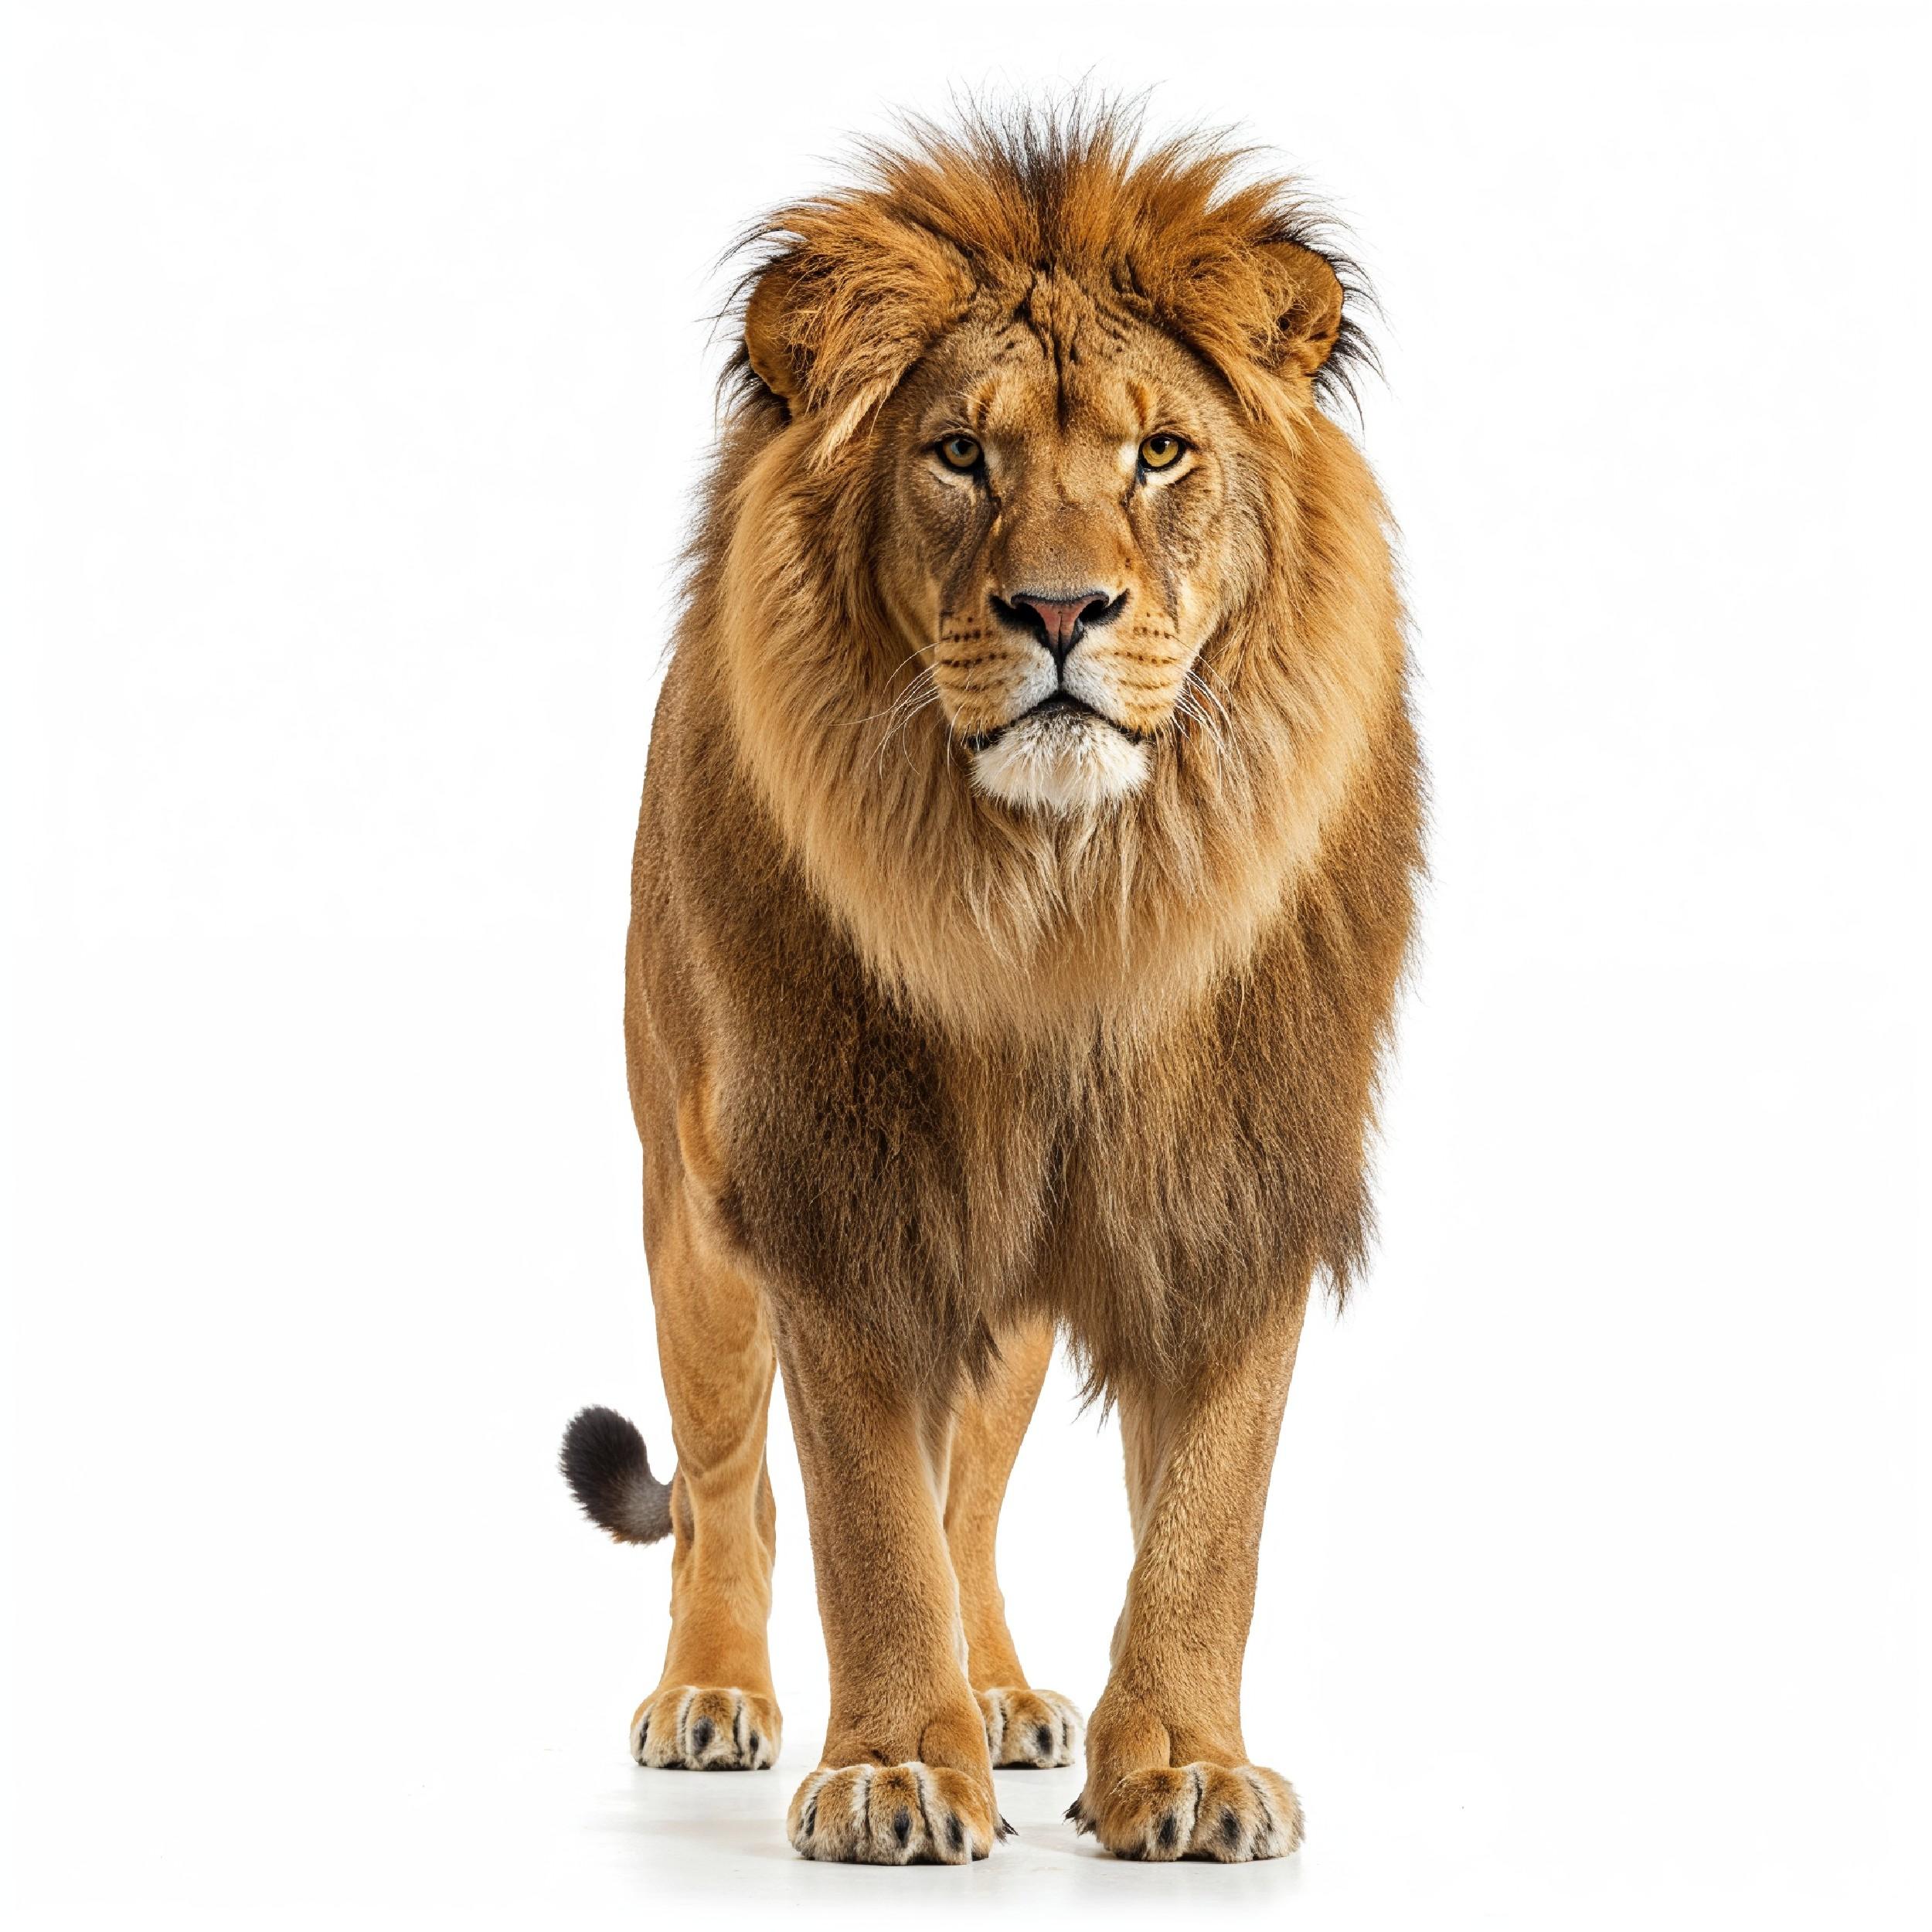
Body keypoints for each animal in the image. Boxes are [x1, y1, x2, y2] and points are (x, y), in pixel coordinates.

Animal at [560, 103, 1421, 1866]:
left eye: (1160, 456)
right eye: (959, 455)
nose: (1059, 608)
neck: (1064, 904)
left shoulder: (1233, 1180)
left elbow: (1204, 1519)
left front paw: (1183, 1768)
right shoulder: (835, 1187)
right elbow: (861, 1517)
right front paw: (893, 1767)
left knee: (970, 1489)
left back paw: (1010, 1690)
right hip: (690, 1206)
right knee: (730, 1483)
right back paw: (711, 1691)